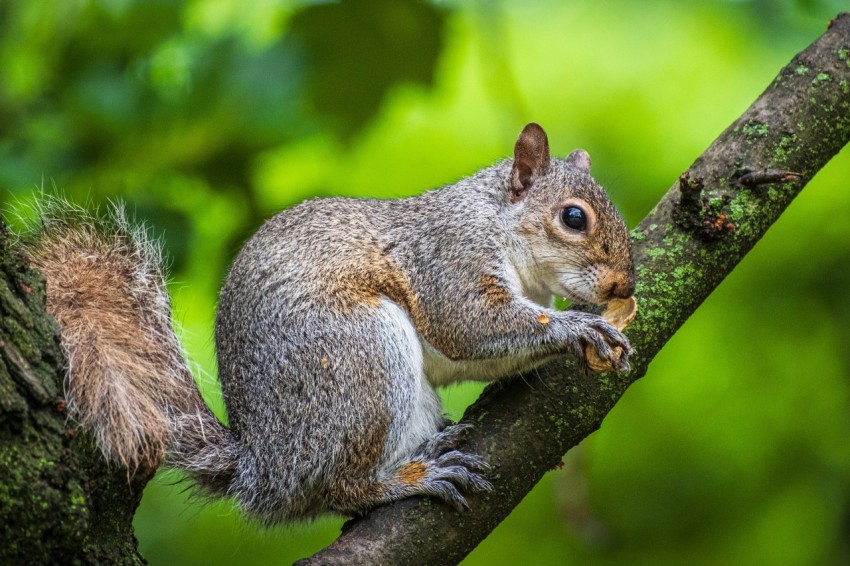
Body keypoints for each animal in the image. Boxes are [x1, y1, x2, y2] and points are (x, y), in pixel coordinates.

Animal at [22, 123, 634, 525]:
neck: (498, 223)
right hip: (359, 358)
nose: (623, 287)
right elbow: (470, 324)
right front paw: (577, 329)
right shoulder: (447, 260)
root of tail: (263, 466)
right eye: (573, 218)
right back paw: (407, 479)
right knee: (339, 488)